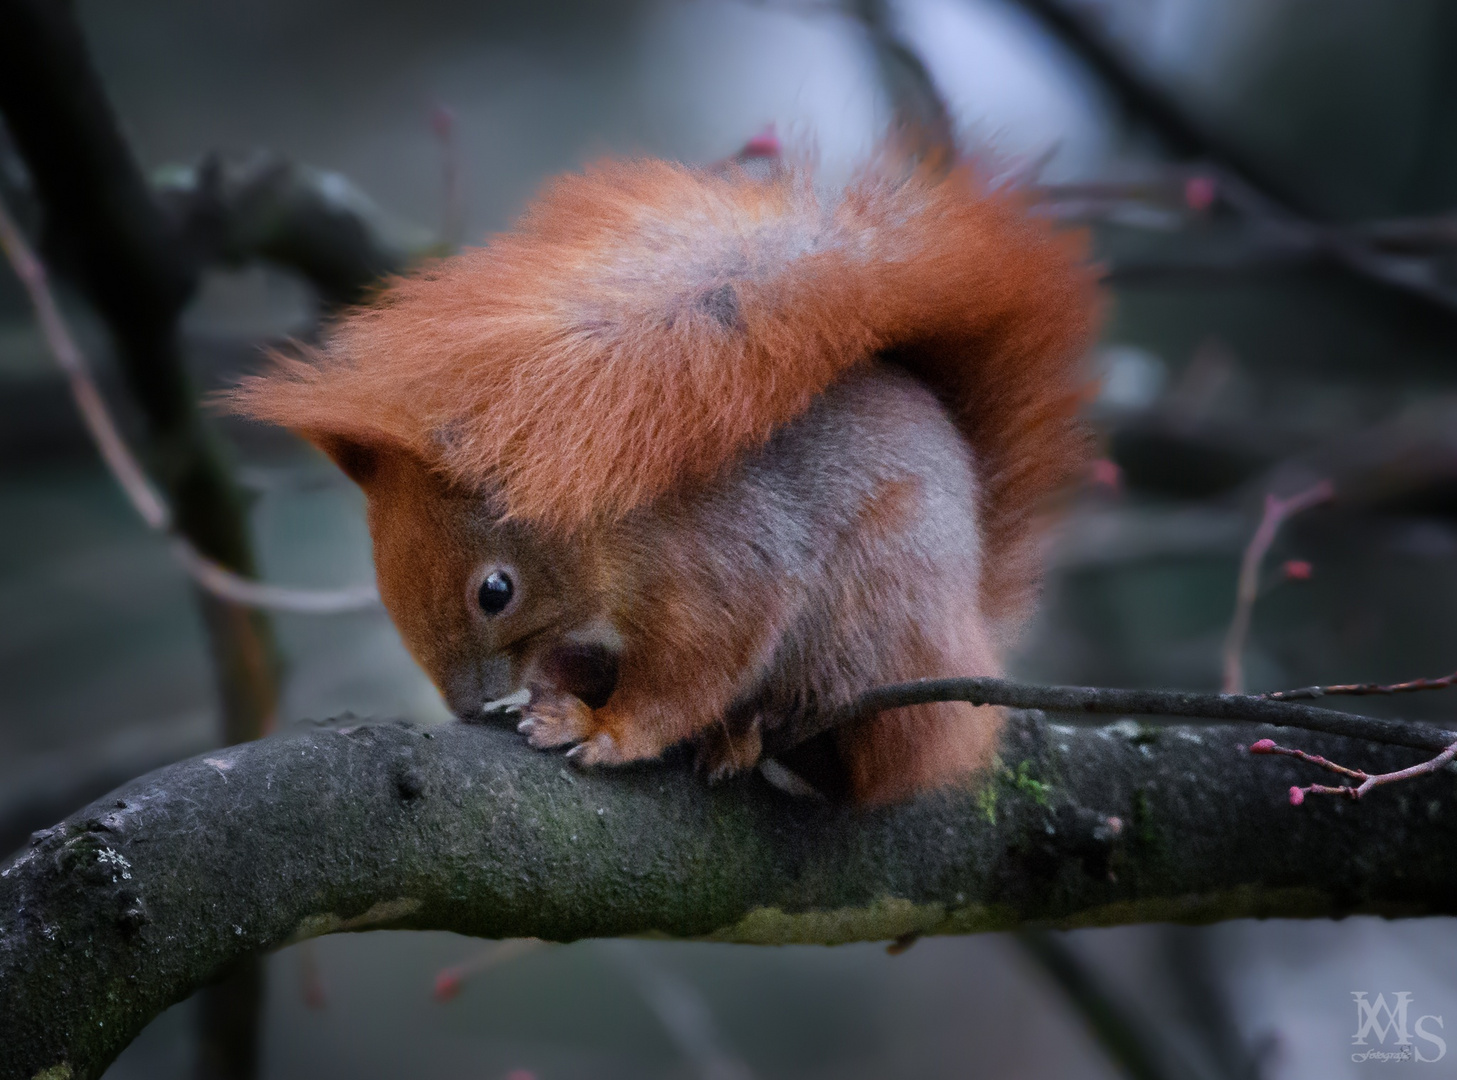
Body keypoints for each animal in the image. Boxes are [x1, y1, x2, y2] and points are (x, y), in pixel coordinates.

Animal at [230, 153, 1095, 810]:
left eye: (495, 592)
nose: (467, 707)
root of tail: (969, 616)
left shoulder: (724, 573)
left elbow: (688, 681)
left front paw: (603, 730)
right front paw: (559, 697)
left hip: (877, 615)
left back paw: (746, 733)